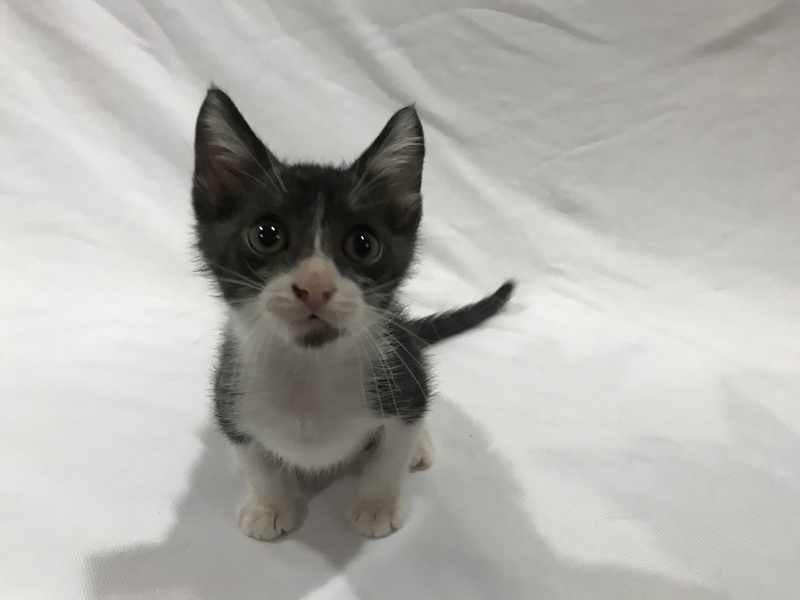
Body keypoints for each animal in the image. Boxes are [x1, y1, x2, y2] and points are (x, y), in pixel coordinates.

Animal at [191, 86, 515, 539]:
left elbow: (391, 454)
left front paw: (376, 506)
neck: (310, 368)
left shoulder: (403, 383)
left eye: (363, 245)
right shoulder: (229, 399)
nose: (315, 287)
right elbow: (255, 457)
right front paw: (268, 504)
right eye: (266, 235)